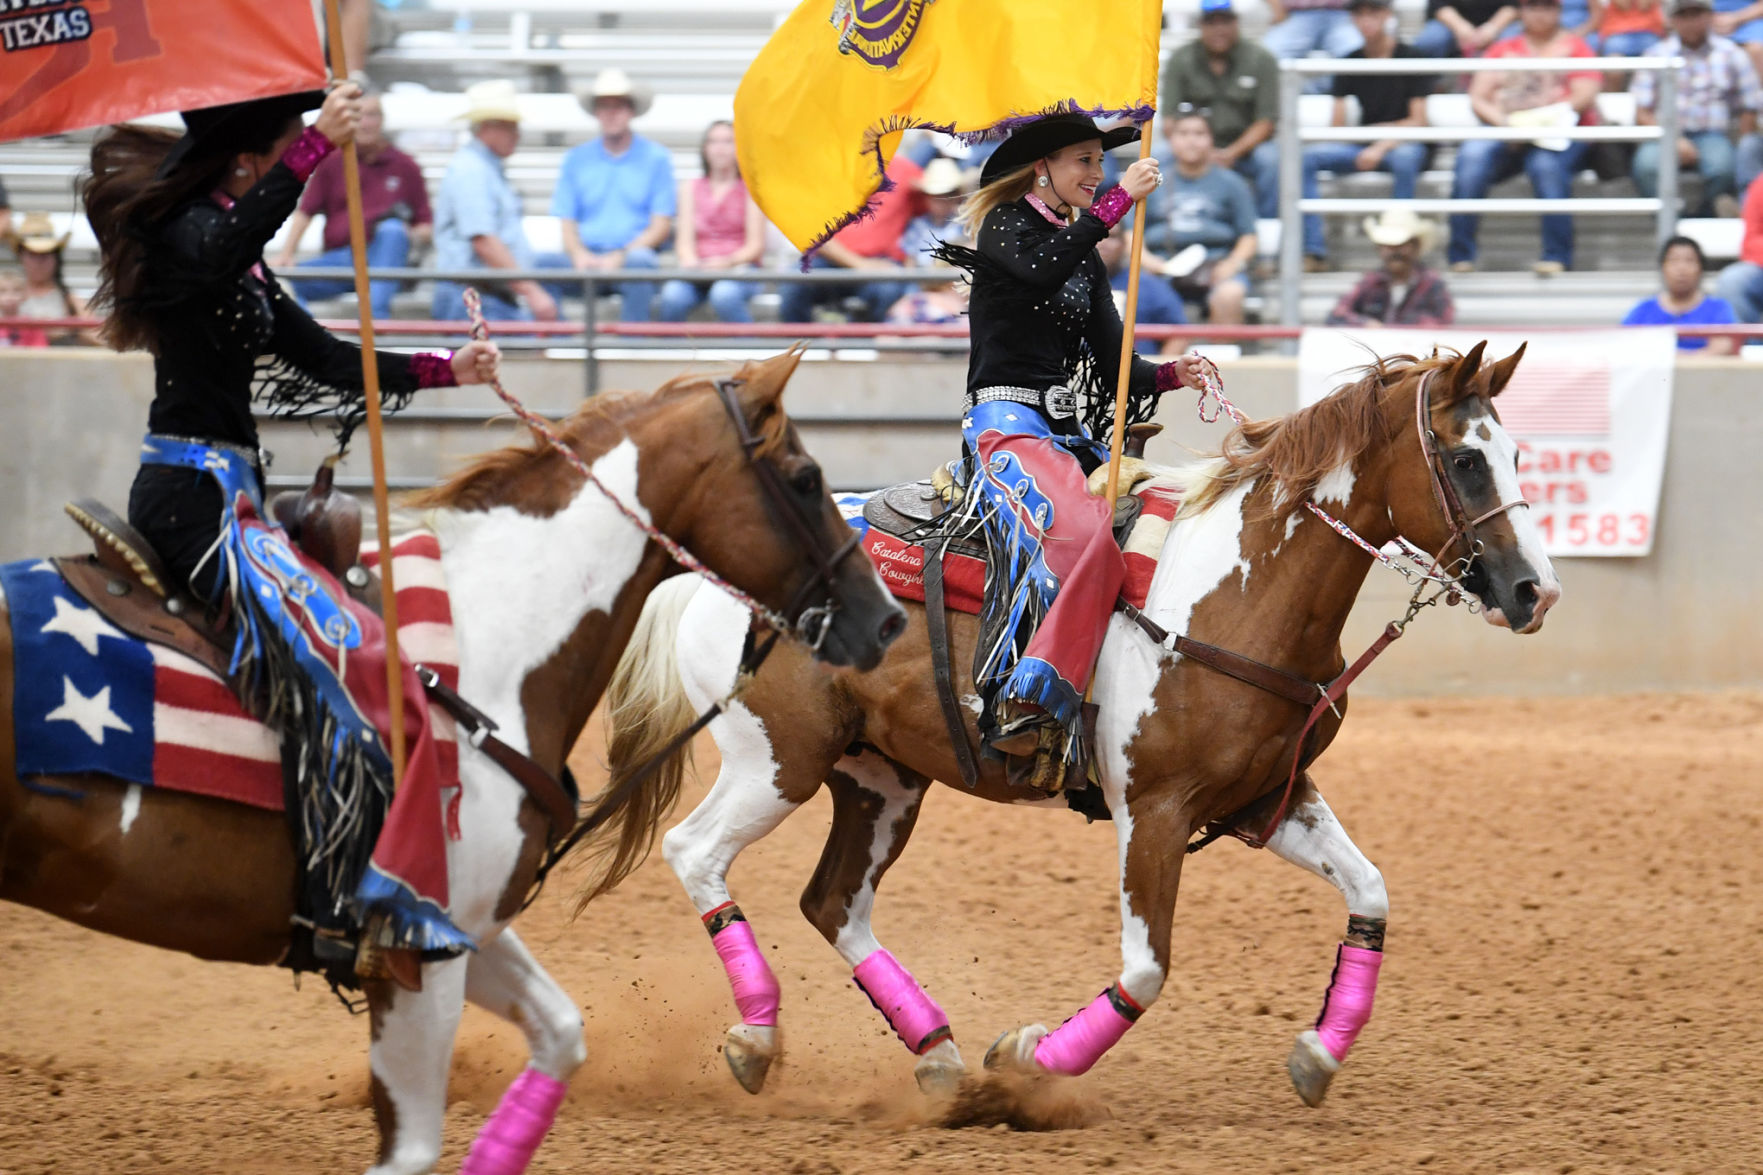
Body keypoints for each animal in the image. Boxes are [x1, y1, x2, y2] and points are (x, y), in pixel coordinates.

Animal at [0, 349, 902, 1171]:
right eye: (804, 476)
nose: (886, 620)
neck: (484, 646)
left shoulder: (457, 923)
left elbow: (560, 1034)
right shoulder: (415, 946)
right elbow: (412, 1147)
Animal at [599, 338, 1565, 1100]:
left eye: (1517, 450)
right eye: (1466, 459)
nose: (1534, 591)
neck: (1242, 588)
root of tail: (703, 575)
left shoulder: (1266, 797)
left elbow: (1369, 892)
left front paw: (1318, 1055)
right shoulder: (1155, 809)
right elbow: (1145, 967)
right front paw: (1029, 1060)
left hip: (880, 776)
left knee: (833, 901)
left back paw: (937, 1053)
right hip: (776, 760)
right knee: (696, 852)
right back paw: (758, 1036)